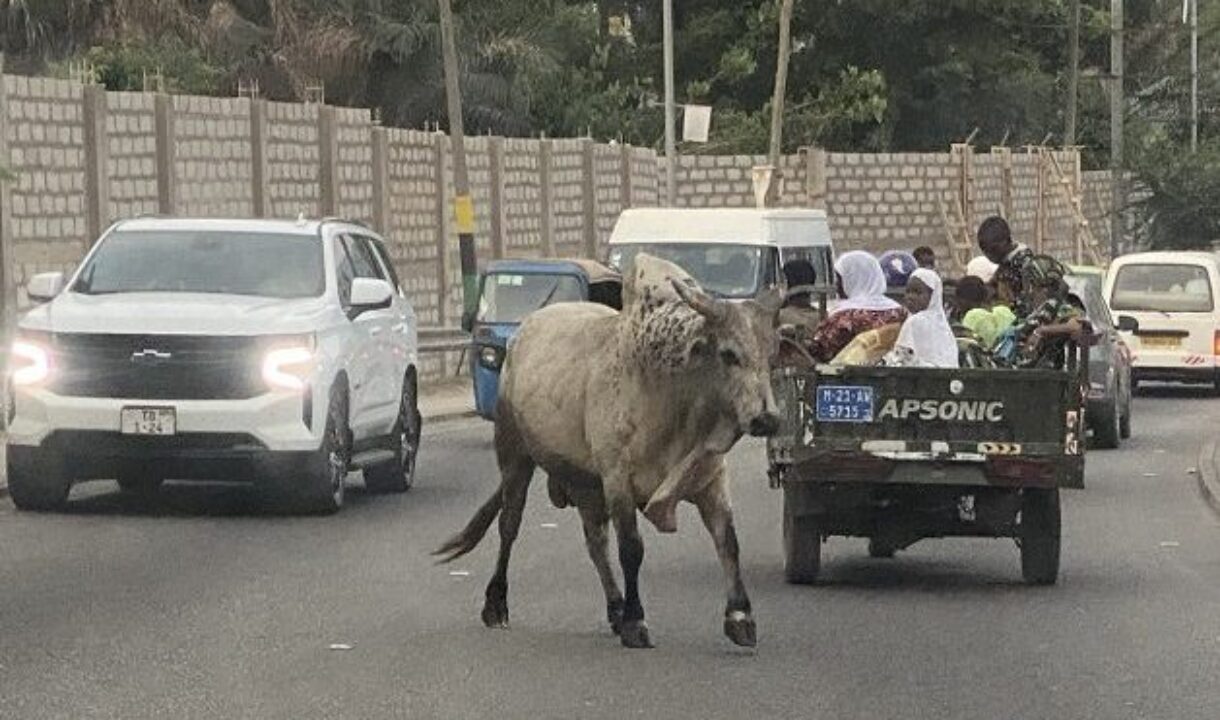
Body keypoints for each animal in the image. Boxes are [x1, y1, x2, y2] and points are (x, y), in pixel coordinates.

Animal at [436, 256, 780, 654]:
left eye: (771, 355)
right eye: (728, 354)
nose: (767, 418)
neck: (671, 390)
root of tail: (526, 330)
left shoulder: (710, 479)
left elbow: (728, 541)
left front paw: (740, 617)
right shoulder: (618, 481)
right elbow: (631, 548)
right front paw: (636, 622)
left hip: (585, 483)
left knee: (595, 542)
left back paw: (615, 606)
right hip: (515, 456)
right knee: (510, 525)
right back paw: (496, 603)